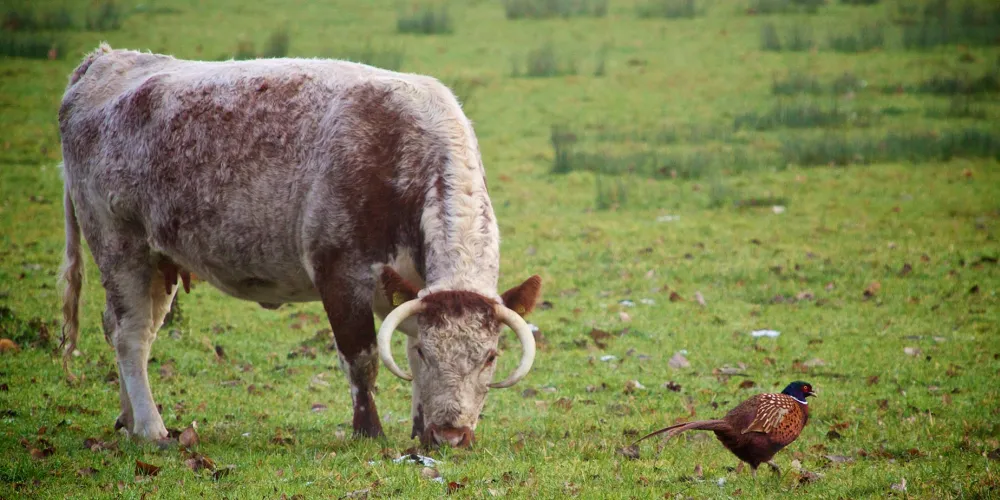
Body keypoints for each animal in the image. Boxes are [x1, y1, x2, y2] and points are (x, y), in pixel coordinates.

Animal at [58, 43, 544, 448]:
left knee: (130, 329)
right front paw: (369, 432)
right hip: (119, 243)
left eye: (490, 356)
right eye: (430, 352)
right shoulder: (340, 275)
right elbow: (363, 358)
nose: (451, 435)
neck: (399, 155)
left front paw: (419, 428)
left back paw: (127, 420)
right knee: (131, 334)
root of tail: (104, 60)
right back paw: (151, 428)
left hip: (160, 261)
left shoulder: (407, 287)